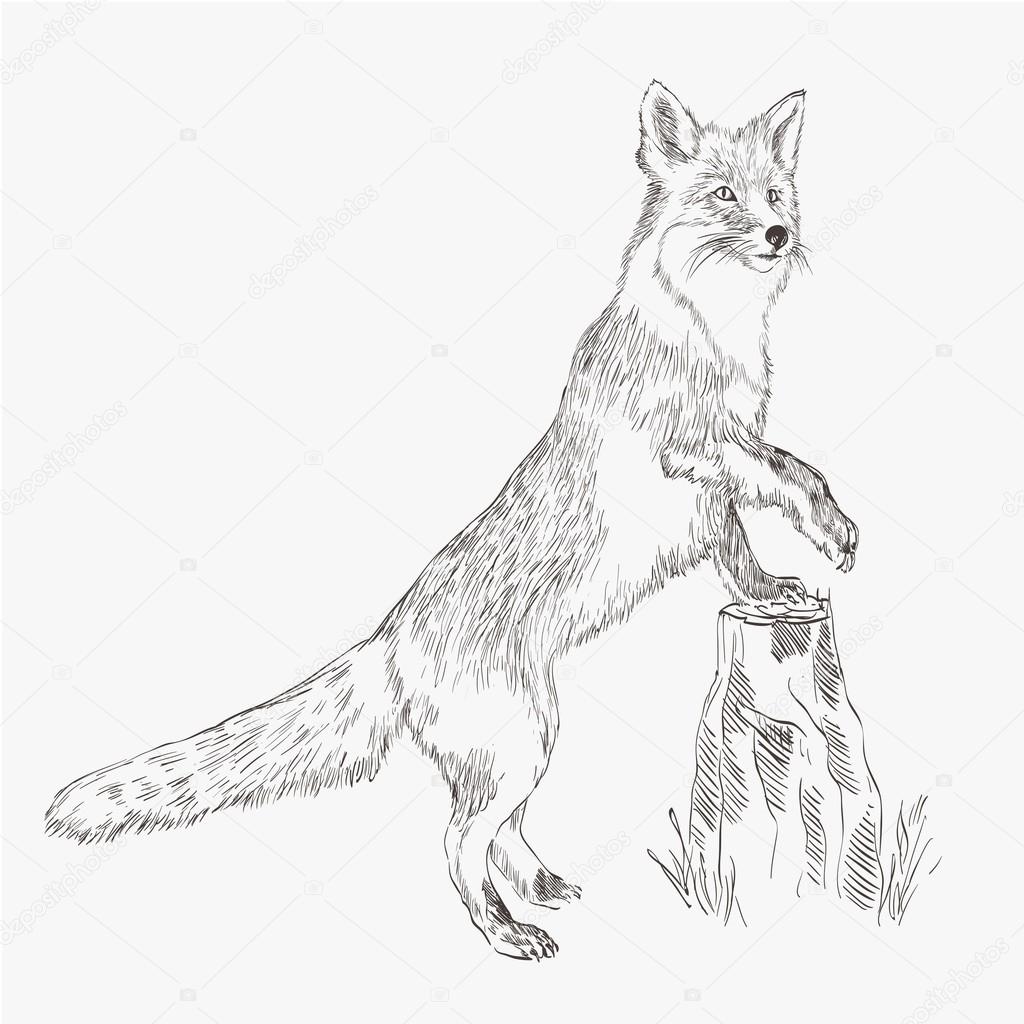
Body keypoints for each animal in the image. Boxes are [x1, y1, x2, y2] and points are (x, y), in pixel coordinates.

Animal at [46, 81, 858, 960]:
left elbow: (746, 547)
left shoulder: (713, 489)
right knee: (457, 844)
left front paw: (779, 586)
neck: (712, 332)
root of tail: (391, 639)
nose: (780, 234)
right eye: (722, 197)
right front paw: (832, 529)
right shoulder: (690, 448)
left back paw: (538, 889)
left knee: (497, 834)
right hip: (520, 744)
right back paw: (505, 932)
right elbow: (793, 473)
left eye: (774, 194)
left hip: (526, 742)